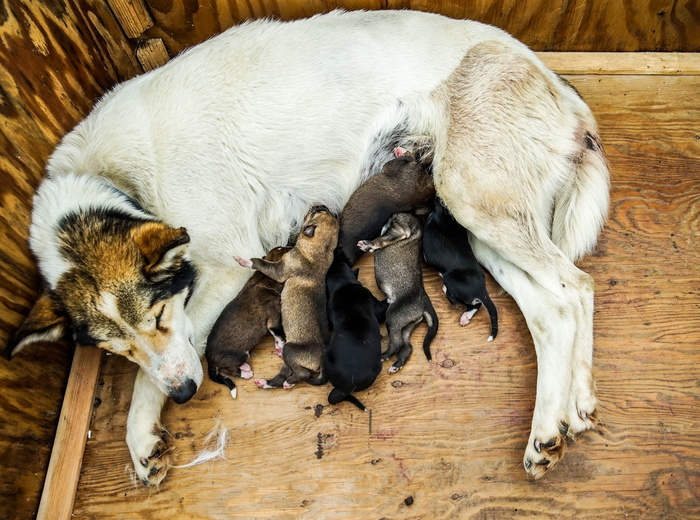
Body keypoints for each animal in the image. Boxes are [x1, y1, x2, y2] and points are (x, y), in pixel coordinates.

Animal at [205, 246, 290, 400]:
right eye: (287, 250)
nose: (292, 244)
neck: (263, 277)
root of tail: (209, 361)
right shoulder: (274, 321)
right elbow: (280, 337)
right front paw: (280, 349)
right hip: (240, 355)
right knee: (229, 371)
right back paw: (245, 373)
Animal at [235, 205, 340, 388]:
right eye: (322, 212)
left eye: (315, 213)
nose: (320, 205)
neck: (322, 250)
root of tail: (321, 361)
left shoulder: (278, 270)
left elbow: (260, 263)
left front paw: (244, 261)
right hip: (288, 359)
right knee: (285, 373)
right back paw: (266, 382)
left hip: (289, 350)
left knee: (303, 374)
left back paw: (288, 382)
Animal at [422, 199, 498, 342]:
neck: (444, 216)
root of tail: (481, 289)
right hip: (471, 297)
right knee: (475, 305)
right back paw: (466, 317)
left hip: (449, 278)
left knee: (453, 299)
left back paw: (446, 290)